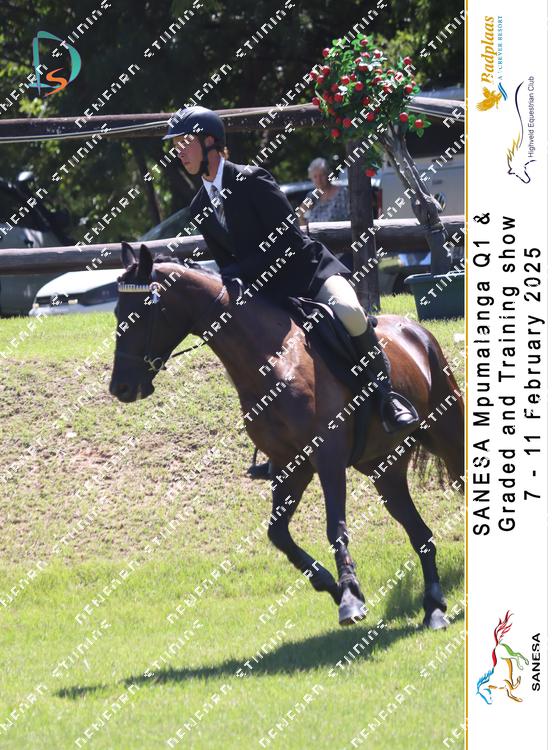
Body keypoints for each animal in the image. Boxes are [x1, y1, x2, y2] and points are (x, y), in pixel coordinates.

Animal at [109, 243, 464, 629]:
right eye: (116, 312)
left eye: (143, 312)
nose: (121, 388)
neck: (271, 360)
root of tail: (417, 330)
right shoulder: (289, 465)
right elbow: (277, 534)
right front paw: (334, 587)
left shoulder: (327, 458)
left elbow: (334, 527)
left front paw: (350, 598)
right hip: (383, 467)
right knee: (420, 534)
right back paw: (434, 608)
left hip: (448, 433)